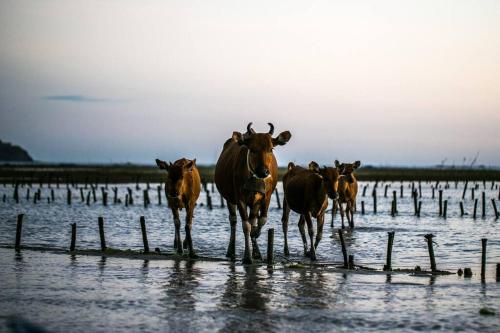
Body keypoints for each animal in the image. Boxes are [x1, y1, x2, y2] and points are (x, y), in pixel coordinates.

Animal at [214, 121, 292, 262]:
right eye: (252, 149)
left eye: (271, 149)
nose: (263, 171)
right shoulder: (239, 198)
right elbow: (246, 225)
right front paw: (247, 256)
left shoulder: (266, 197)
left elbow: (261, 220)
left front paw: (255, 239)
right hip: (229, 199)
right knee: (233, 221)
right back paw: (231, 250)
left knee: (253, 219)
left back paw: (256, 251)